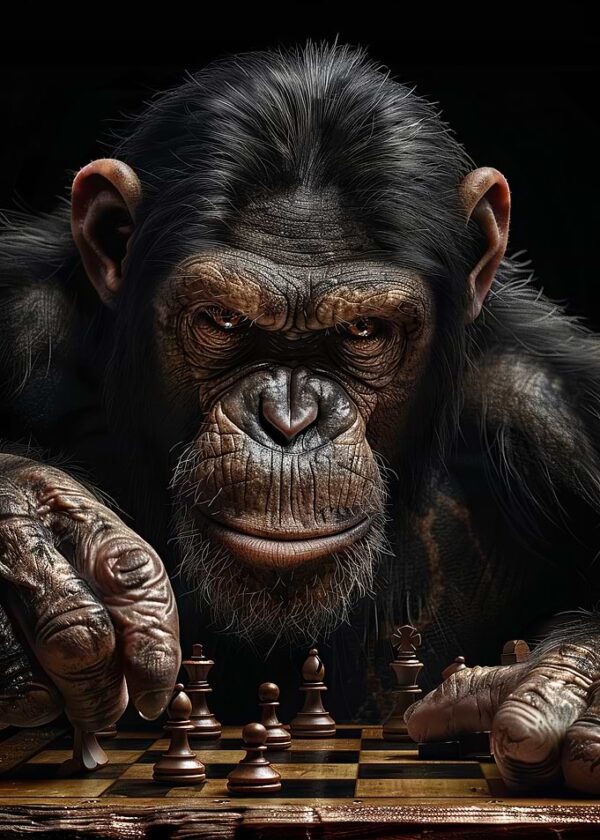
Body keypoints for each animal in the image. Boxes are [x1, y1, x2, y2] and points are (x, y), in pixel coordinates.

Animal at [0, 41, 599, 794]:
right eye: (221, 319)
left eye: (364, 330)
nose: (289, 419)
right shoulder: (21, 317)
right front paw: (31, 529)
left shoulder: (562, 414)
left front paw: (572, 688)